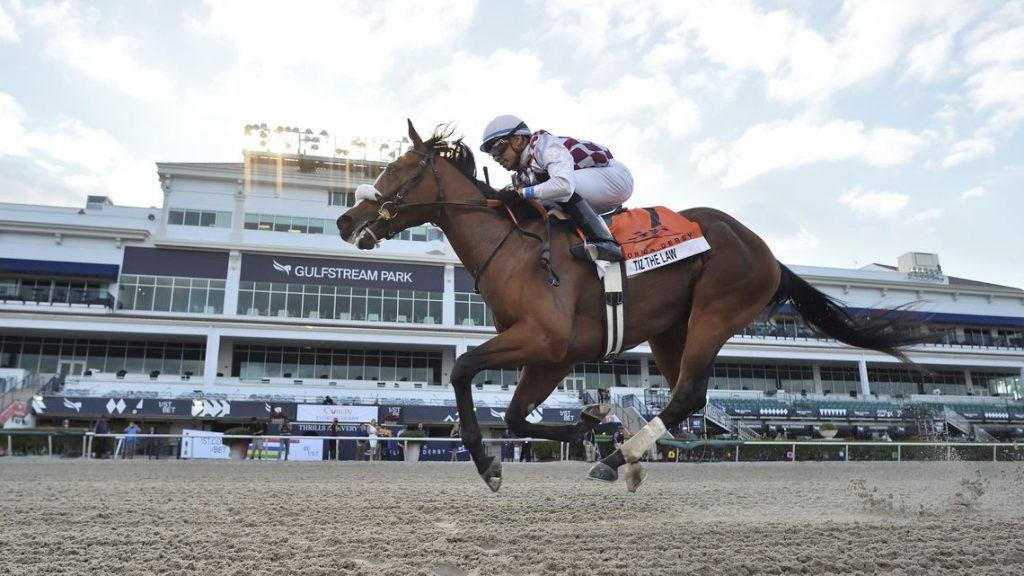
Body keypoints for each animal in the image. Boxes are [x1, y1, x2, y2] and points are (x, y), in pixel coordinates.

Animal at [333, 119, 921, 487]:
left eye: (395, 169)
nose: (344, 219)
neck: (515, 249)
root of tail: (767, 252)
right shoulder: (554, 355)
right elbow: (518, 415)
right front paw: (584, 426)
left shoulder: (543, 339)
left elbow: (462, 371)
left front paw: (489, 464)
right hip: (670, 330)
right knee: (689, 399)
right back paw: (627, 456)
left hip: (716, 311)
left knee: (687, 394)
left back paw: (621, 457)